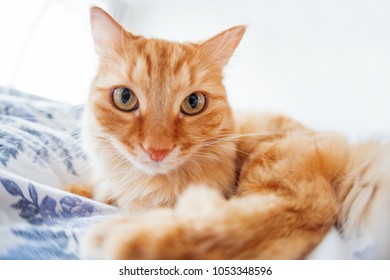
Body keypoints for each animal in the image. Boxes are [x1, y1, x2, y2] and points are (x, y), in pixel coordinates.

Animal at [77, 7, 390, 260]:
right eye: (125, 98)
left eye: (193, 103)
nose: (157, 151)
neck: (141, 186)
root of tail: (350, 153)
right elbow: (95, 191)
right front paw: (80, 189)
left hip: (272, 168)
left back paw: (120, 237)